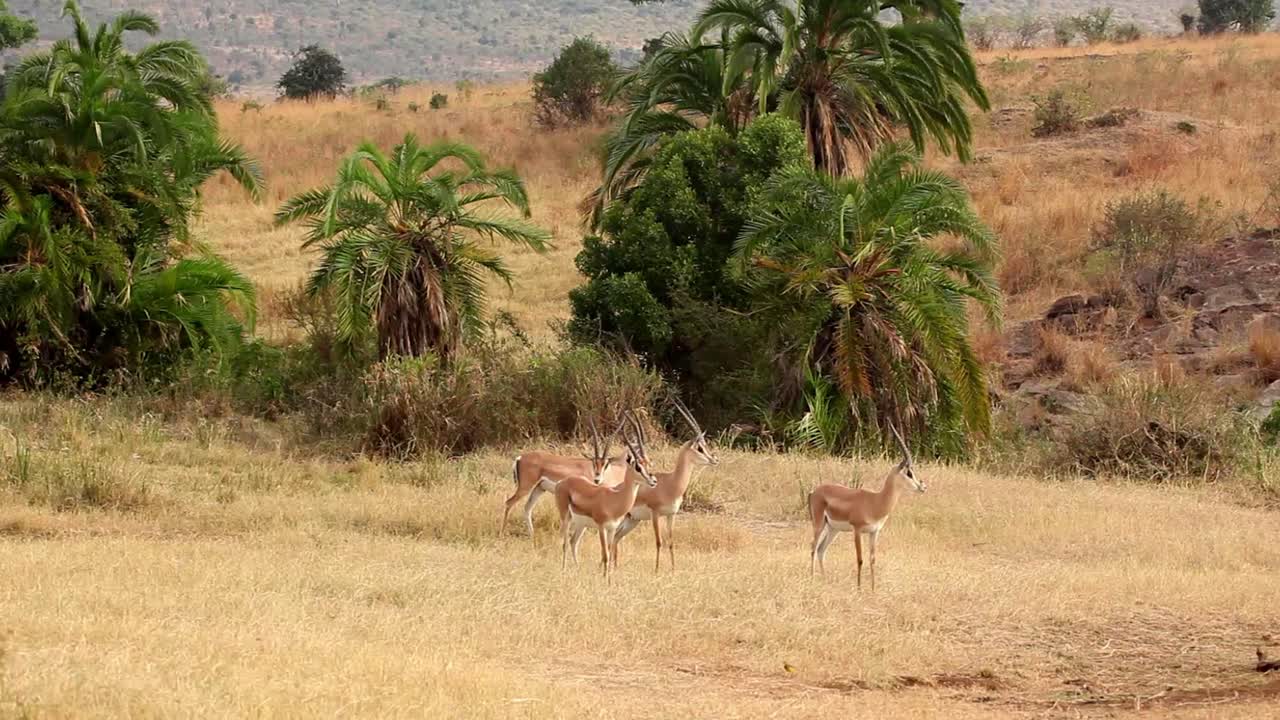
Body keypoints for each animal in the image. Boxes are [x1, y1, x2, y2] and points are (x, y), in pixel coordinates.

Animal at [500, 418, 629, 536]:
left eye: (606, 464)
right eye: (594, 462)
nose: (597, 479)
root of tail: (520, 457)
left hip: (539, 488)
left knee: (527, 508)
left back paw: (532, 535)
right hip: (526, 487)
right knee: (509, 503)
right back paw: (503, 532)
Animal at [556, 412, 657, 584]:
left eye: (647, 463)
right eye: (638, 466)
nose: (653, 481)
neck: (614, 500)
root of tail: (563, 482)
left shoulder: (612, 529)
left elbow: (609, 553)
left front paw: (609, 580)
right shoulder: (602, 528)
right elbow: (605, 555)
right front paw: (605, 581)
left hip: (581, 524)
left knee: (573, 542)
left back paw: (577, 569)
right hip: (566, 517)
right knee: (564, 542)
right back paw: (563, 571)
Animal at [611, 397, 719, 573]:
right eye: (700, 448)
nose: (714, 460)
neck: (672, 483)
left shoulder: (671, 515)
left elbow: (671, 542)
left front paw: (674, 570)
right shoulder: (656, 514)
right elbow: (659, 542)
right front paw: (656, 570)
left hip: (633, 520)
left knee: (616, 537)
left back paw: (615, 567)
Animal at [808, 424, 927, 589]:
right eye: (909, 473)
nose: (922, 487)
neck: (875, 501)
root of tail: (814, 491)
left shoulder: (874, 532)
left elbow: (872, 560)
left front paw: (872, 588)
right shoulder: (857, 530)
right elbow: (860, 559)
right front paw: (859, 589)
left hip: (833, 529)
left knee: (821, 550)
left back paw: (825, 580)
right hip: (819, 524)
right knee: (813, 547)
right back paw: (812, 580)